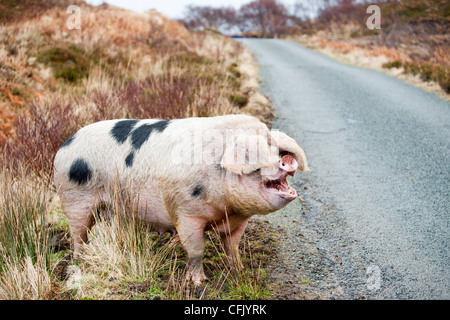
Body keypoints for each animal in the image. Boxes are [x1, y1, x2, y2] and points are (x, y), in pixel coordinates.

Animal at [51, 114, 306, 282]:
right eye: (261, 157)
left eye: (277, 152)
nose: (287, 160)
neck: (227, 208)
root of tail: (65, 144)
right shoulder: (185, 212)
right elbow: (196, 250)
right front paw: (200, 282)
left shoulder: (238, 221)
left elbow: (232, 247)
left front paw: (240, 271)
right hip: (74, 199)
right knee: (78, 235)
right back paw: (80, 261)